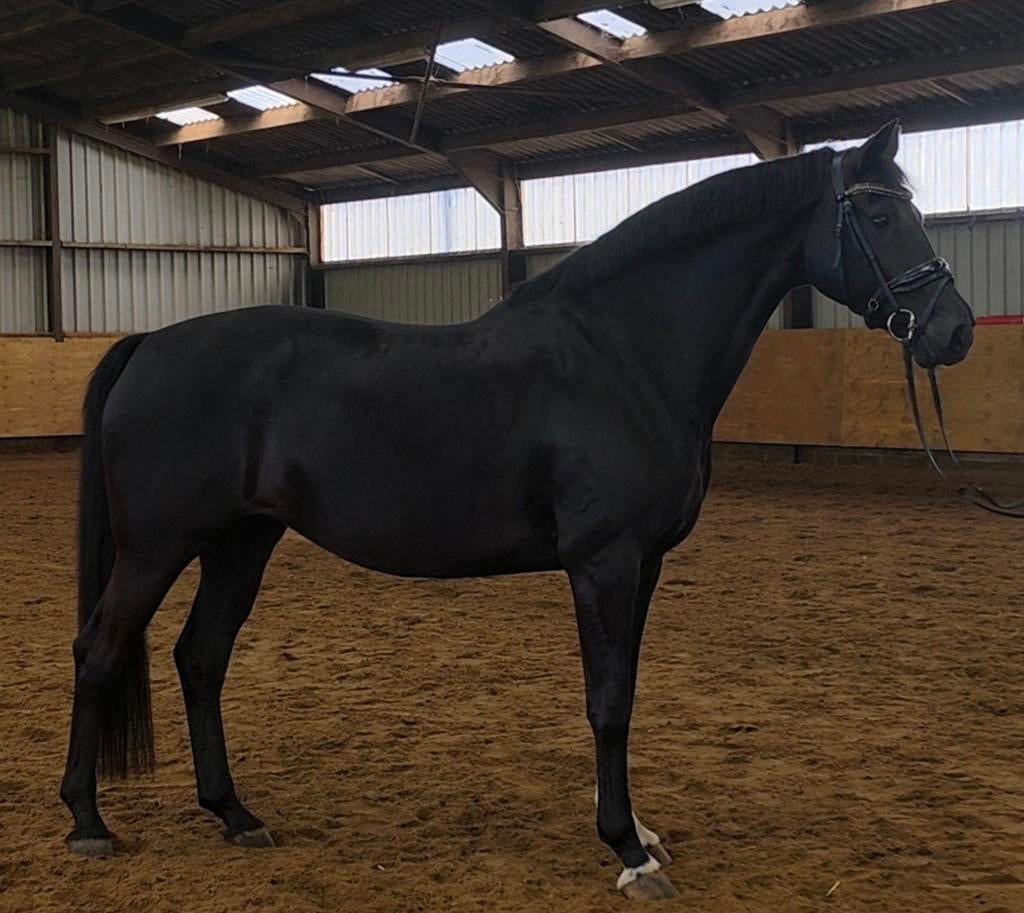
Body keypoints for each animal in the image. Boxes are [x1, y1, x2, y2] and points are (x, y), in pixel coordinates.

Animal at [61, 121, 975, 900]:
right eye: (882, 213)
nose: (956, 331)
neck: (623, 354)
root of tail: (150, 343)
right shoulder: (604, 562)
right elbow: (608, 700)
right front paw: (628, 850)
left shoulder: (644, 565)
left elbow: (626, 688)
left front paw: (640, 830)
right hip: (155, 549)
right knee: (99, 651)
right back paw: (87, 822)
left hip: (241, 542)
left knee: (200, 658)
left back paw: (234, 814)